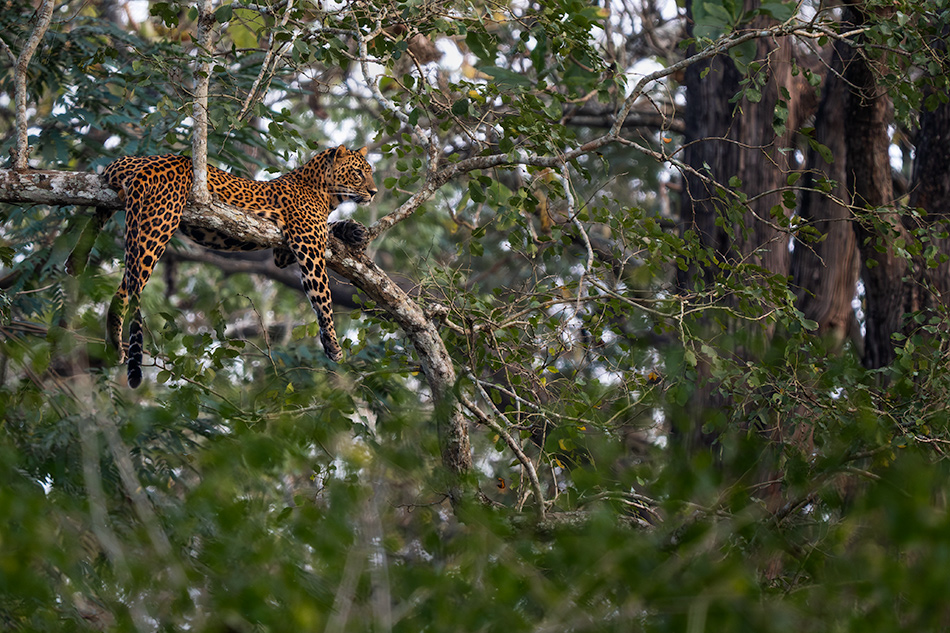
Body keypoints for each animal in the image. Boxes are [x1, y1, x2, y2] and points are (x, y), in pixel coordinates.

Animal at [73, 146, 376, 388]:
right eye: (358, 174)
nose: (374, 192)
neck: (324, 192)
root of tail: (151, 161)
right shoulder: (308, 246)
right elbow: (322, 297)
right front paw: (333, 345)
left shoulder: (283, 252)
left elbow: (330, 230)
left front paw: (353, 231)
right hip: (158, 222)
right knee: (126, 288)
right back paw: (115, 338)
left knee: (99, 216)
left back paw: (74, 261)